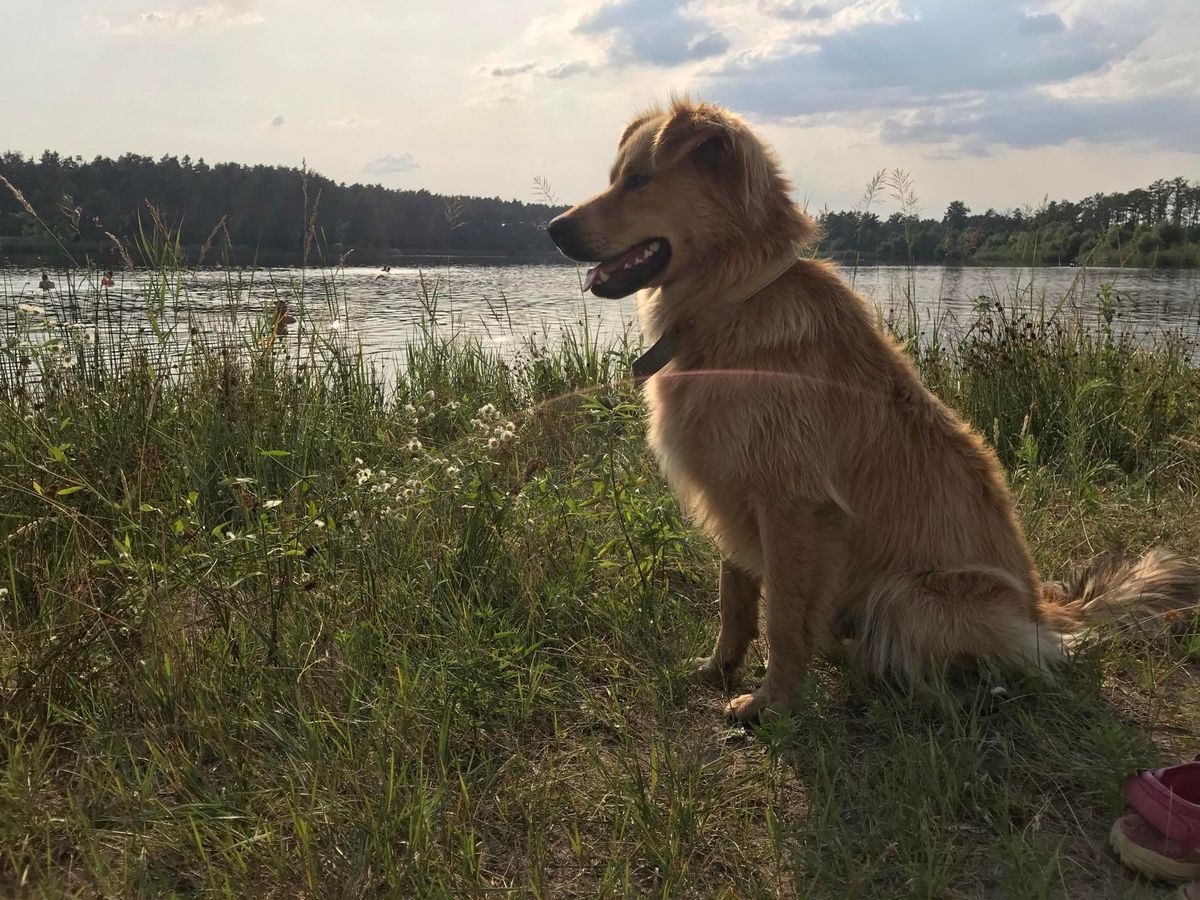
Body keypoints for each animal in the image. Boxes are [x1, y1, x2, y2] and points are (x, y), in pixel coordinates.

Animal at [547, 98, 1200, 724]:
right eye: (615, 178)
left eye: (639, 180)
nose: (552, 227)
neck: (732, 300)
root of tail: (1042, 612)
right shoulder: (731, 492)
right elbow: (733, 597)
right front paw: (719, 668)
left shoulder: (792, 506)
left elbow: (782, 618)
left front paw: (772, 704)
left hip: (910, 595)